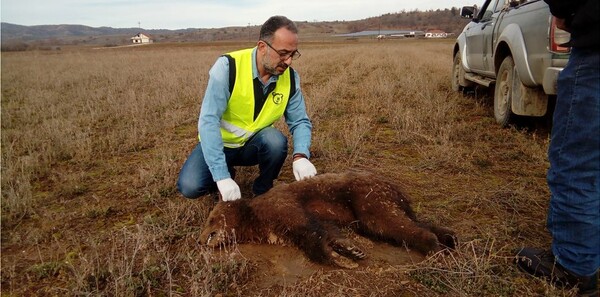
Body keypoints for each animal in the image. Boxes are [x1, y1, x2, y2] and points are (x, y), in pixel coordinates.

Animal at [199, 169, 458, 268]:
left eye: (211, 219)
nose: (200, 240)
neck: (253, 219)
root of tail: (394, 188)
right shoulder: (281, 229)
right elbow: (326, 231)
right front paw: (350, 250)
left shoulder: (283, 208)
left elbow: (311, 233)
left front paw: (339, 257)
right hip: (381, 206)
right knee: (405, 221)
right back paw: (448, 236)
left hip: (368, 198)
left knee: (394, 223)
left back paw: (434, 247)